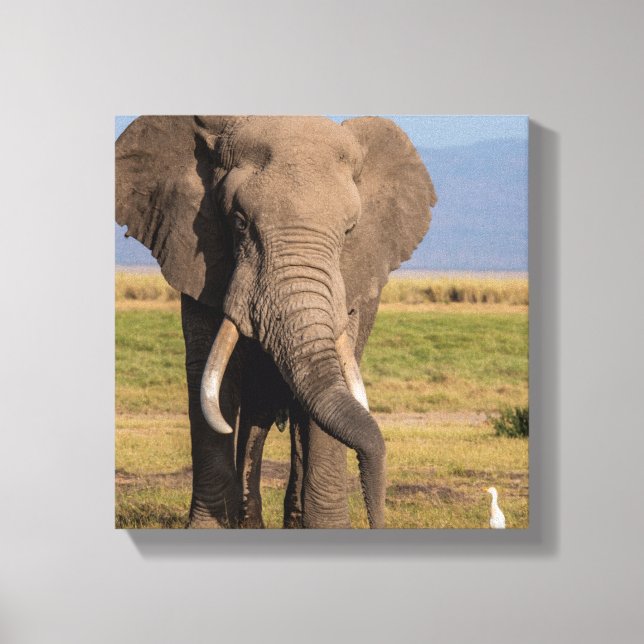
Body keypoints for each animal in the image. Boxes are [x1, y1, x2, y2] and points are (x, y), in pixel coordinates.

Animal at [116, 115, 436, 528]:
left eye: (350, 231)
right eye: (239, 223)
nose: (377, 521)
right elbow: (210, 376)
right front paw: (208, 528)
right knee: (255, 416)